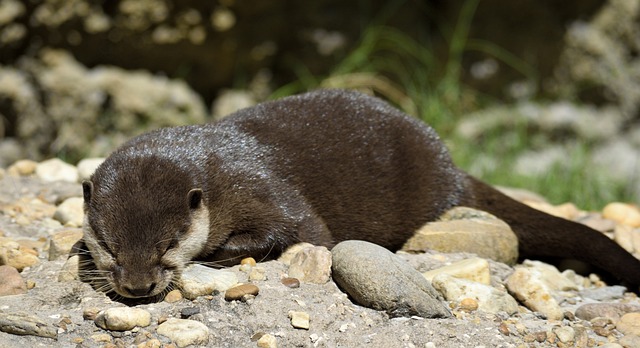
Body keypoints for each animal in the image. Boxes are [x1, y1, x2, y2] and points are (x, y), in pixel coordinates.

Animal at [81, 88, 640, 298]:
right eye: (110, 247)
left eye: (169, 245)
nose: (138, 288)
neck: (214, 178)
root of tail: (448, 164)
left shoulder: (258, 187)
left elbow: (305, 232)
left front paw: (217, 255)